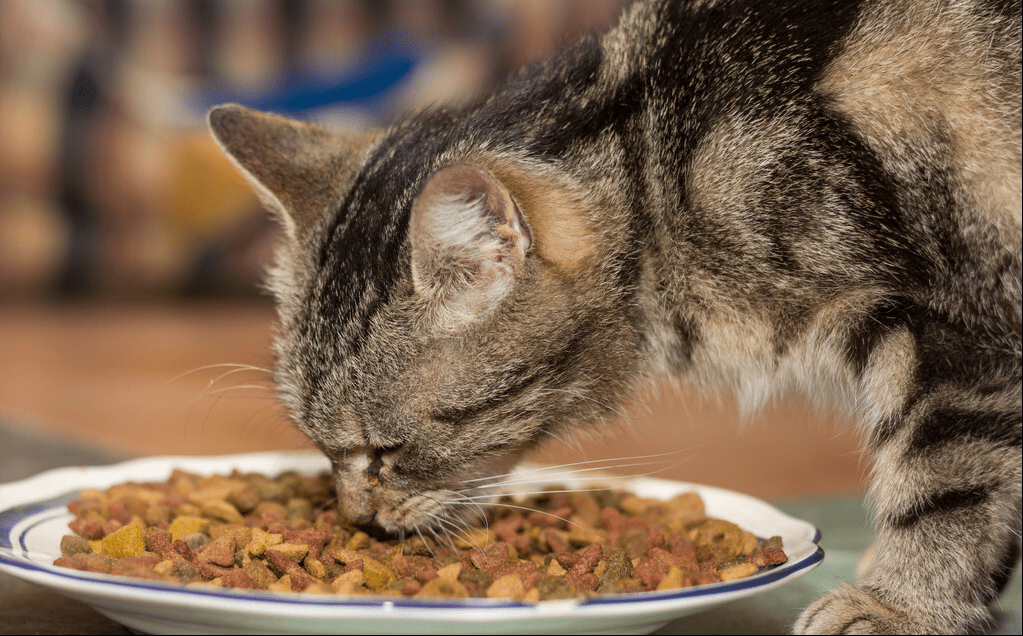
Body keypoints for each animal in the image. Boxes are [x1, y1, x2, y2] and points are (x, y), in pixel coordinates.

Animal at [203, 0, 1018, 629]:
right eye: (317, 445)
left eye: (386, 451)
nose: (355, 519)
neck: (656, 167)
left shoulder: (960, 334)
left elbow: (946, 489)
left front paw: (901, 606)